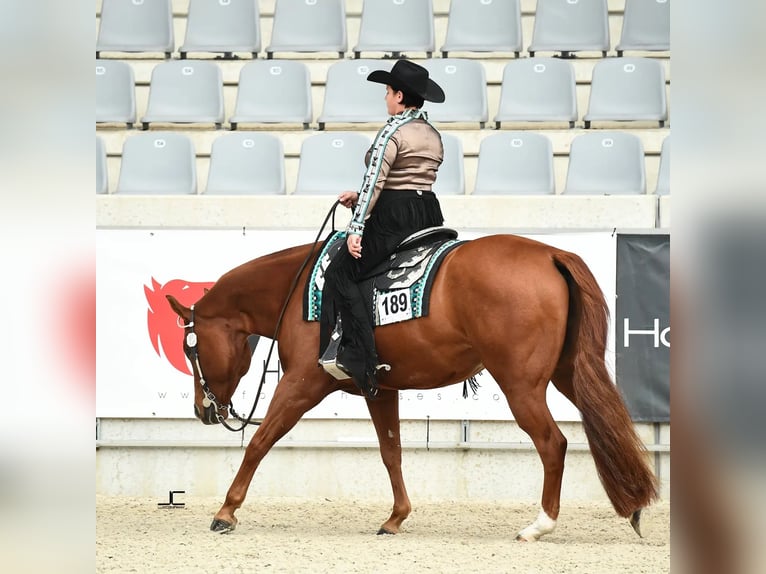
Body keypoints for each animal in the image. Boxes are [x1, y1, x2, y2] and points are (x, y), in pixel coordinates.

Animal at [165, 232, 656, 544]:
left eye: (191, 348)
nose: (203, 410)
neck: (301, 289)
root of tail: (550, 254)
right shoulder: (380, 389)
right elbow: (391, 451)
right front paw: (395, 518)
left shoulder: (302, 384)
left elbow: (260, 442)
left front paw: (226, 511)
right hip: (568, 374)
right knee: (606, 425)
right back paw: (633, 507)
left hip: (523, 386)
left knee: (553, 443)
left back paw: (539, 526)